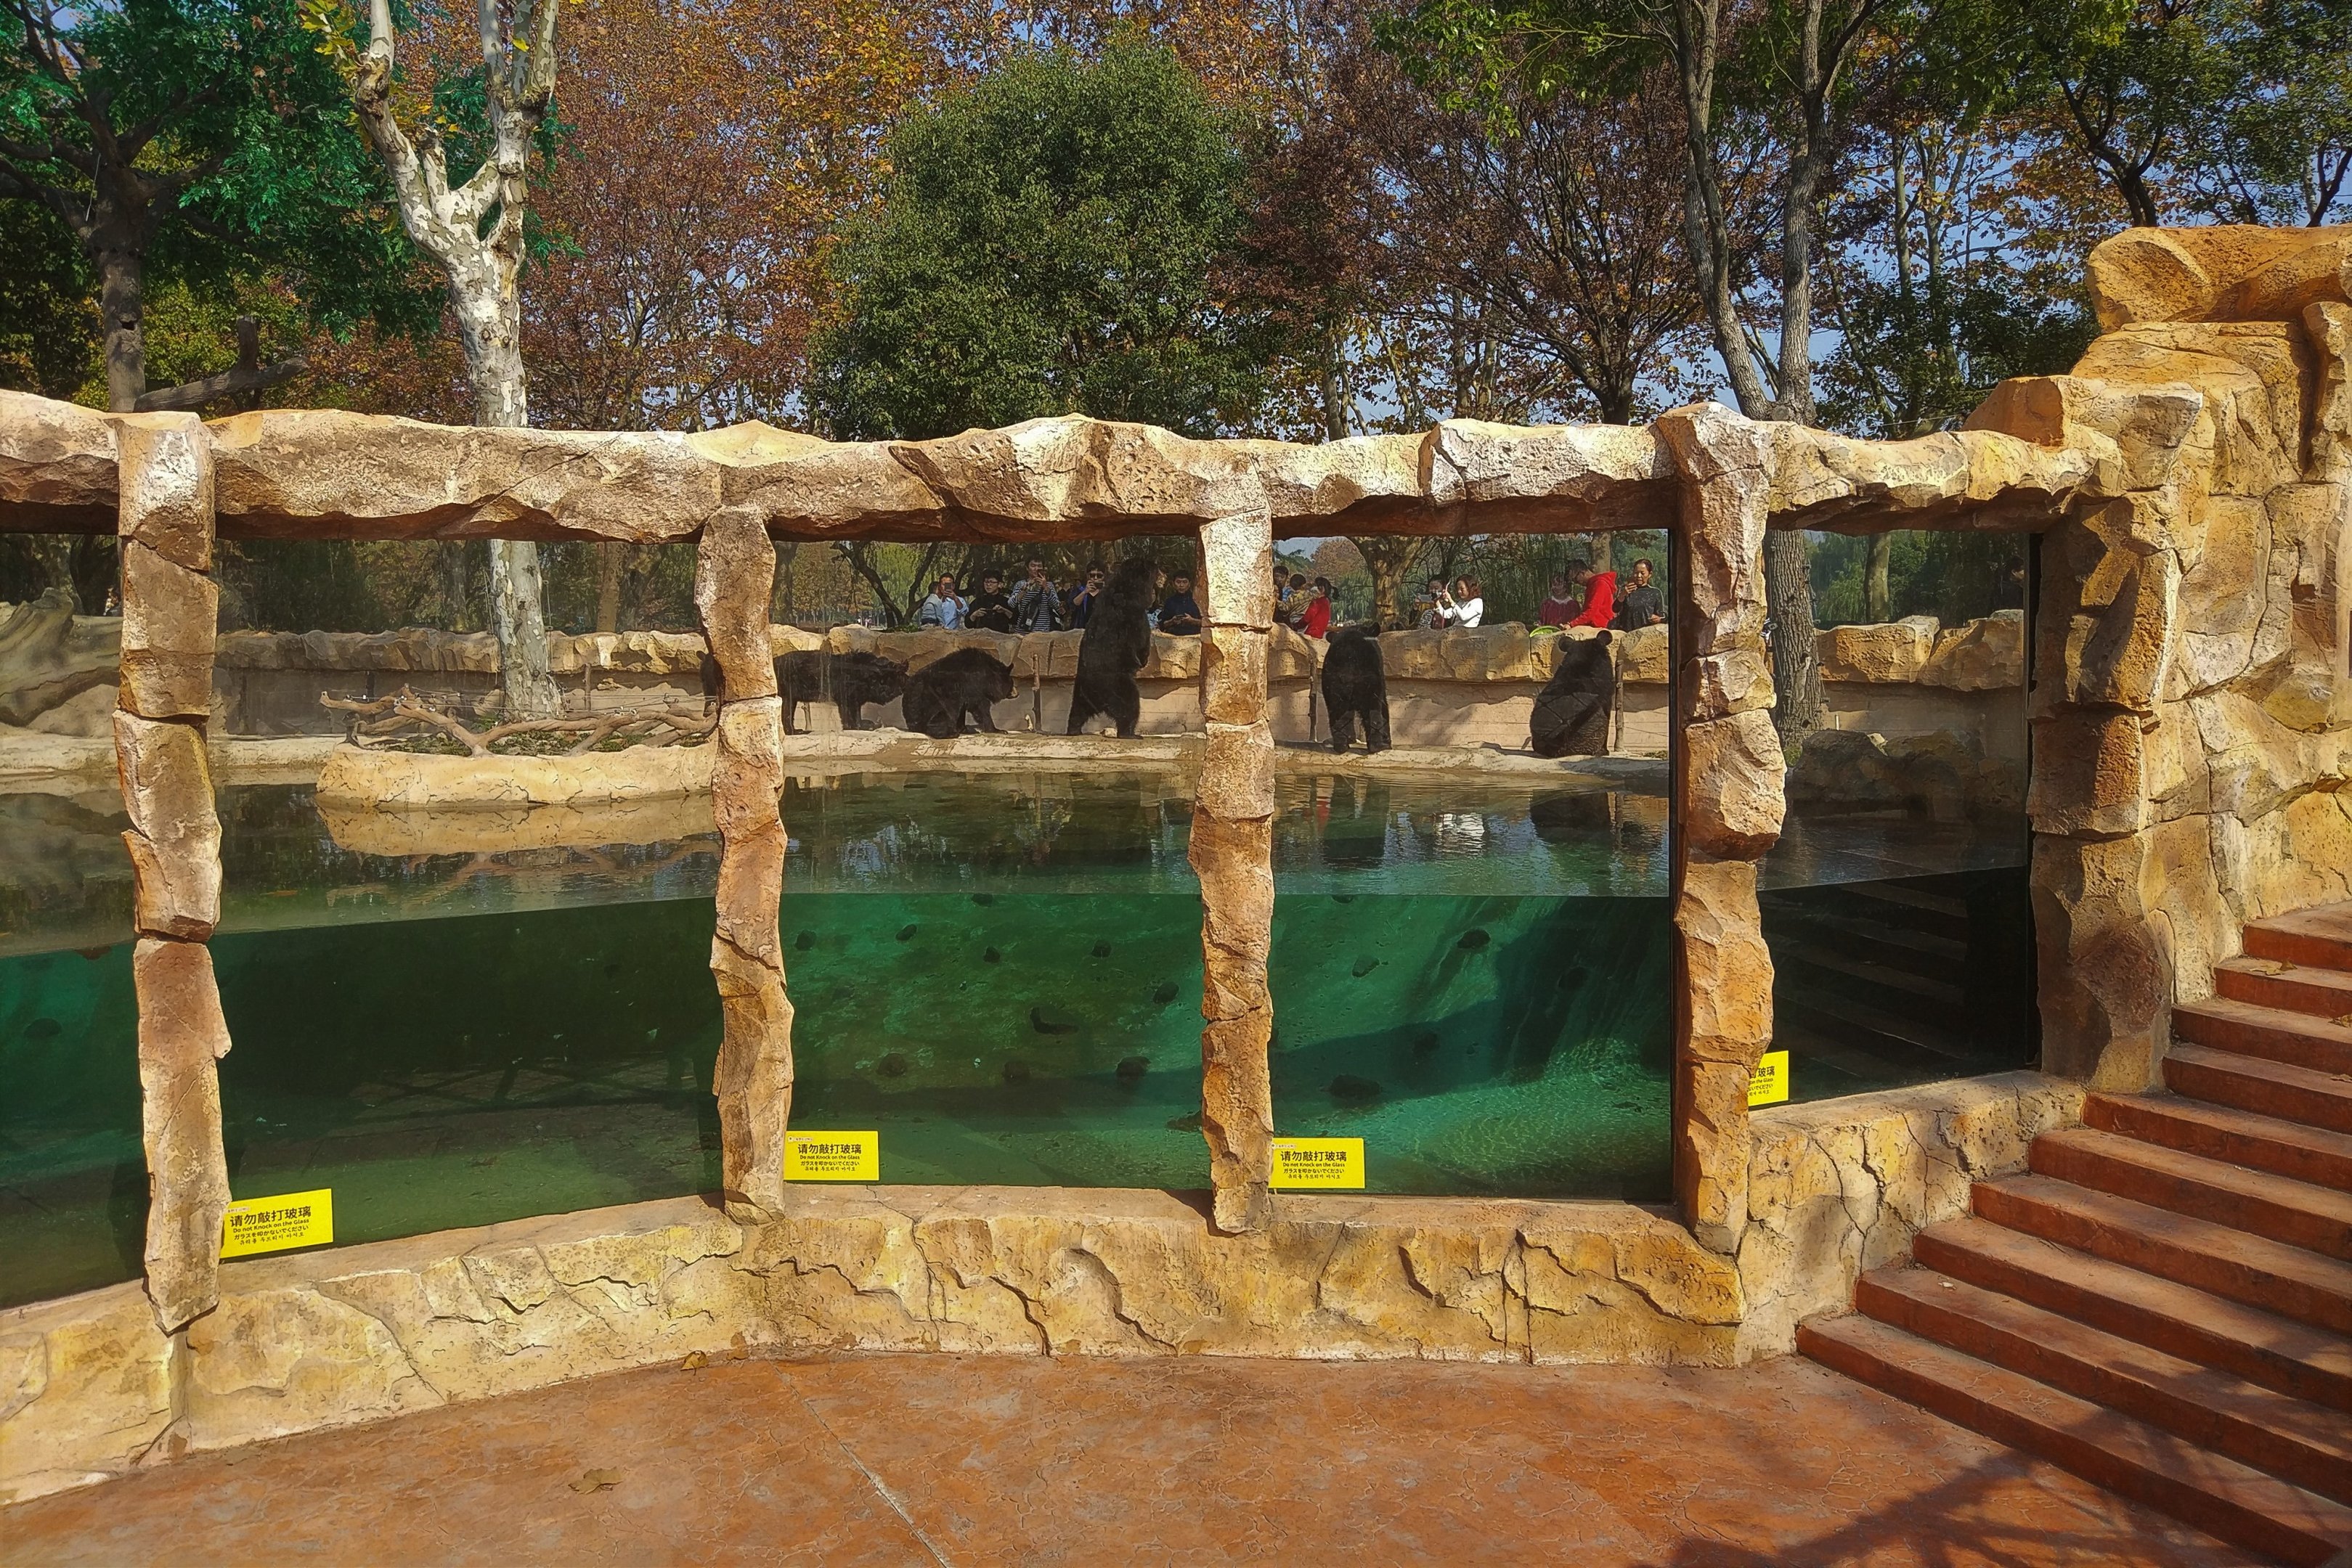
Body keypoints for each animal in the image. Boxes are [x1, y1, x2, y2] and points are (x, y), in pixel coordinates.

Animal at [900, 647, 1015, 738]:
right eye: (1012, 683)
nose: (1016, 693)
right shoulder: (973, 686)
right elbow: (981, 707)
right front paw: (998, 730)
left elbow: (964, 709)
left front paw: (966, 729)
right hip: (933, 698)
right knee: (942, 715)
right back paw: (949, 734)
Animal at [1066, 555, 1157, 737]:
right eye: (1153, 567)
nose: (1159, 568)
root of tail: (1096, 697)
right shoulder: (1133, 613)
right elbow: (1142, 637)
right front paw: (1144, 659)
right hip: (1117, 683)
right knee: (1130, 704)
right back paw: (1131, 733)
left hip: (1080, 691)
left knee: (1077, 711)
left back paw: (1073, 730)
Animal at [1319, 624, 1390, 753]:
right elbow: (1383, 704)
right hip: (1369, 680)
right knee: (1373, 709)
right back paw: (1377, 746)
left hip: (1332, 683)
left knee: (1337, 712)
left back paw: (1341, 745)